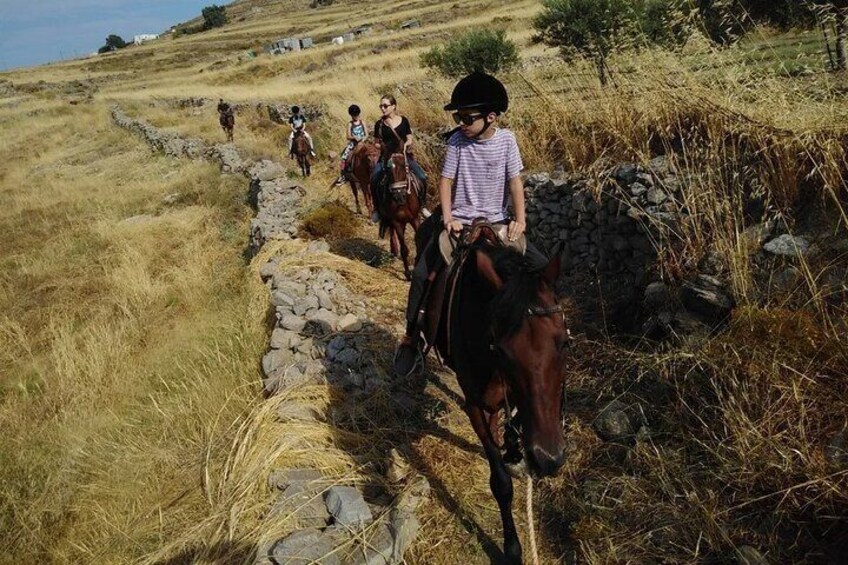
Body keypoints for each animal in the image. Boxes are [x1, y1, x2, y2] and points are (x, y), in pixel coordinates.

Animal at [378, 152, 424, 280]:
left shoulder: (415, 219)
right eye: (389, 171)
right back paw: (394, 249)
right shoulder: (397, 222)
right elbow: (404, 249)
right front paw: (408, 274)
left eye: (404, 168)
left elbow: (419, 242)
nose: (398, 197)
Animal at [428, 227, 568, 560]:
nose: (549, 459)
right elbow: (500, 483)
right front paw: (512, 548)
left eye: (564, 343)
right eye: (503, 351)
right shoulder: (475, 405)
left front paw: (515, 452)